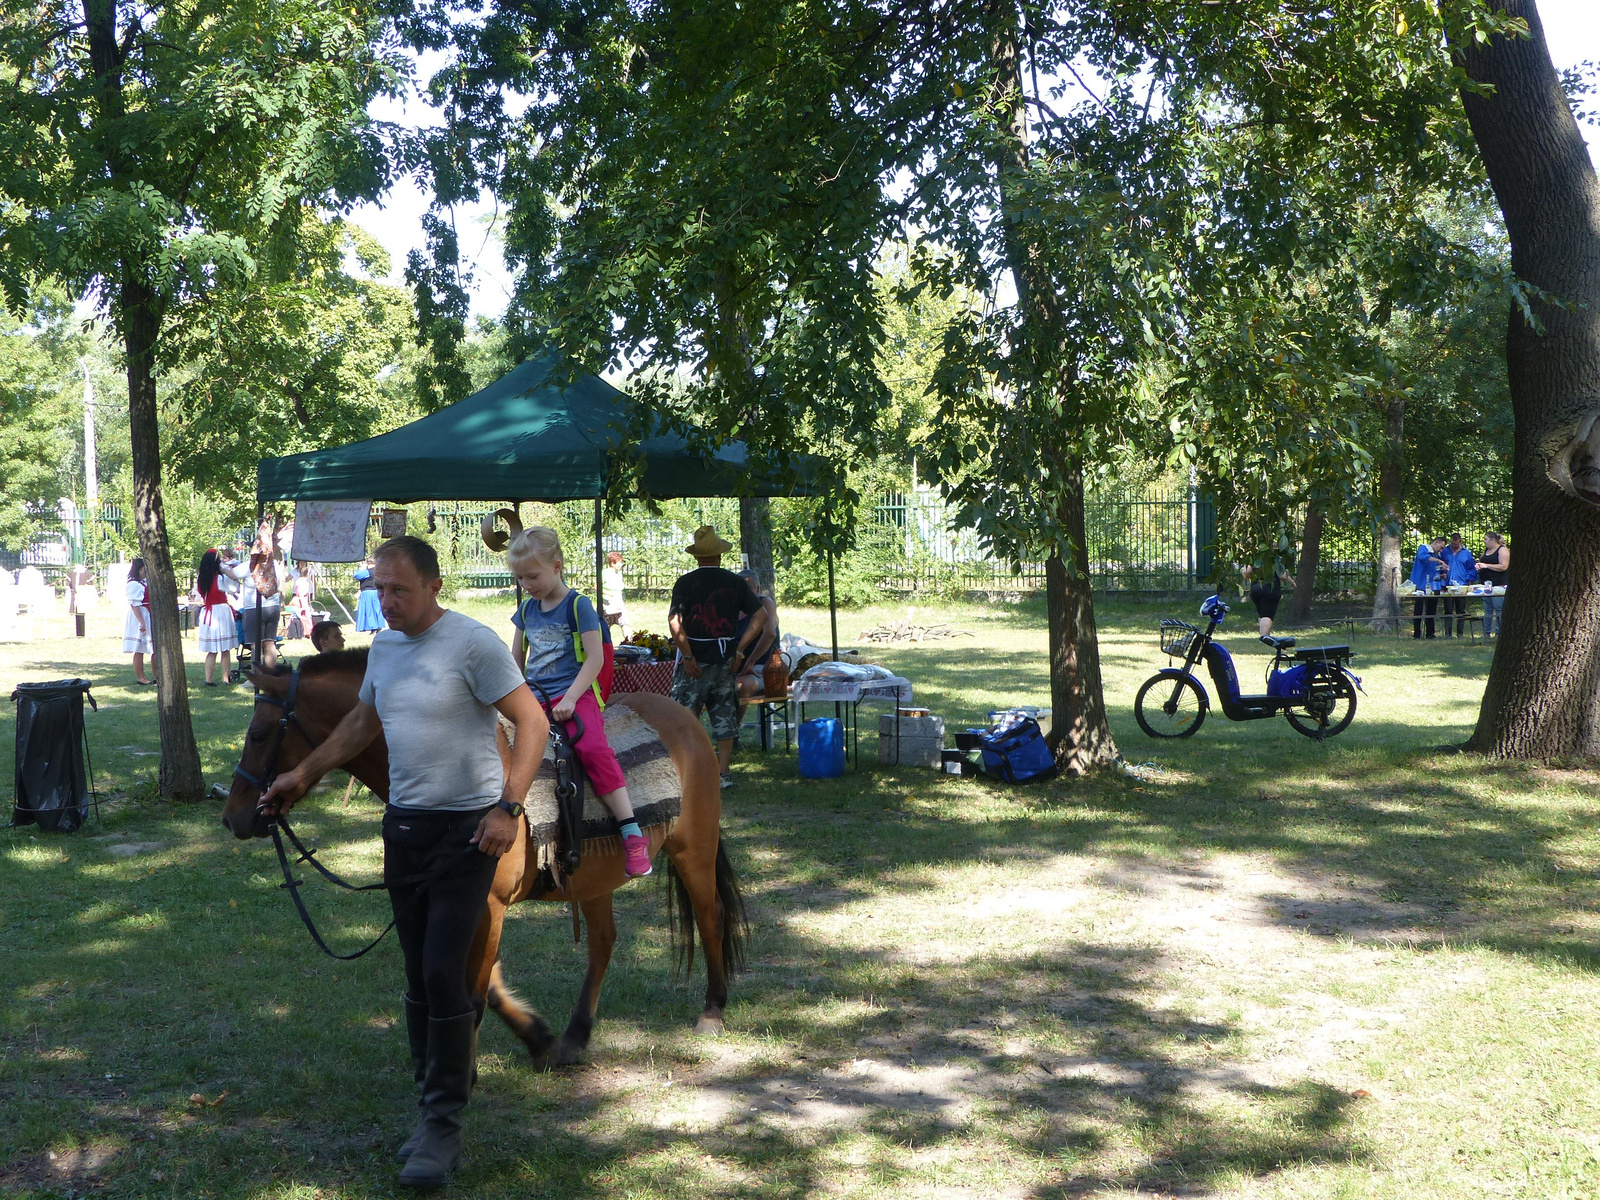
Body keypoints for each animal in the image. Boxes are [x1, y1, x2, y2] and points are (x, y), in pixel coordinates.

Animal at [220, 652, 748, 1068]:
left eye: (259, 733)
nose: (232, 816)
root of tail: (686, 719)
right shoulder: (463, 902)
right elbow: (484, 986)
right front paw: (539, 1039)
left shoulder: (486, 904)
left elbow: (473, 993)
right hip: (595, 879)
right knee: (603, 943)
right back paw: (575, 1035)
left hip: (694, 850)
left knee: (711, 916)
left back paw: (712, 1010)